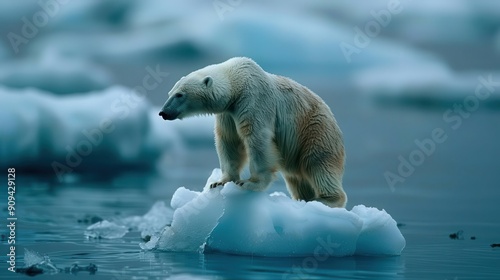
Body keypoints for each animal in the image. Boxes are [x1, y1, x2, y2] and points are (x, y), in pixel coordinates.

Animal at [160, 57, 348, 208]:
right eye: (170, 93)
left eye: (180, 95)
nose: (163, 112)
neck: (237, 81)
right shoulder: (228, 113)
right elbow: (229, 141)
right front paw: (219, 182)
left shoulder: (254, 101)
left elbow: (257, 139)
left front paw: (249, 183)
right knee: (297, 178)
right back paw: (303, 199)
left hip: (315, 130)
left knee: (318, 163)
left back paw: (326, 199)